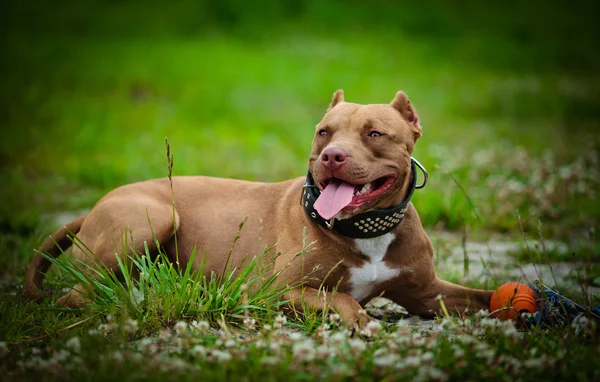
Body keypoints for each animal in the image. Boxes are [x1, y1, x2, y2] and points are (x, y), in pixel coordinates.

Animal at [23, 90, 492, 328]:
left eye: (375, 133)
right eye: (323, 132)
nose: (332, 156)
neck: (365, 230)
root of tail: (93, 206)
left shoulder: (428, 293)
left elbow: (483, 298)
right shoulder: (276, 290)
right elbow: (341, 299)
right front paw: (359, 320)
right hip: (151, 218)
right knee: (76, 295)